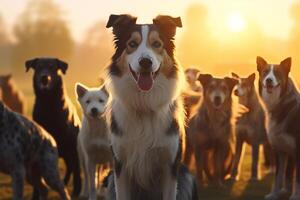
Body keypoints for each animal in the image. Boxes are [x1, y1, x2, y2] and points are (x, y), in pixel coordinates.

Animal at [25, 57, 81, 196]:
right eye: (39, 67)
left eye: (52, 67)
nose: (44, 77)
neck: (48, 104)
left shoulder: (71, 145)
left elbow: (76, 171)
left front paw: (76, 191)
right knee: (69, 166)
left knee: (74, 168)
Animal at [105, 13, 197, 199]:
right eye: (132, 44)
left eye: (157, 44)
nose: (145, 62)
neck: (144, 104)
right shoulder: (120, 166)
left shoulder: (170, 165)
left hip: (186, 177)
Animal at [255, 56, 300, 200]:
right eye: (265, 72)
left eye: (277, 73)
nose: (269, 80)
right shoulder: (279, 149)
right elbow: (278, 177)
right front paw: (275, 194)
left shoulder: (297, 150)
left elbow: (297, 179)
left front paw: (295, 196)